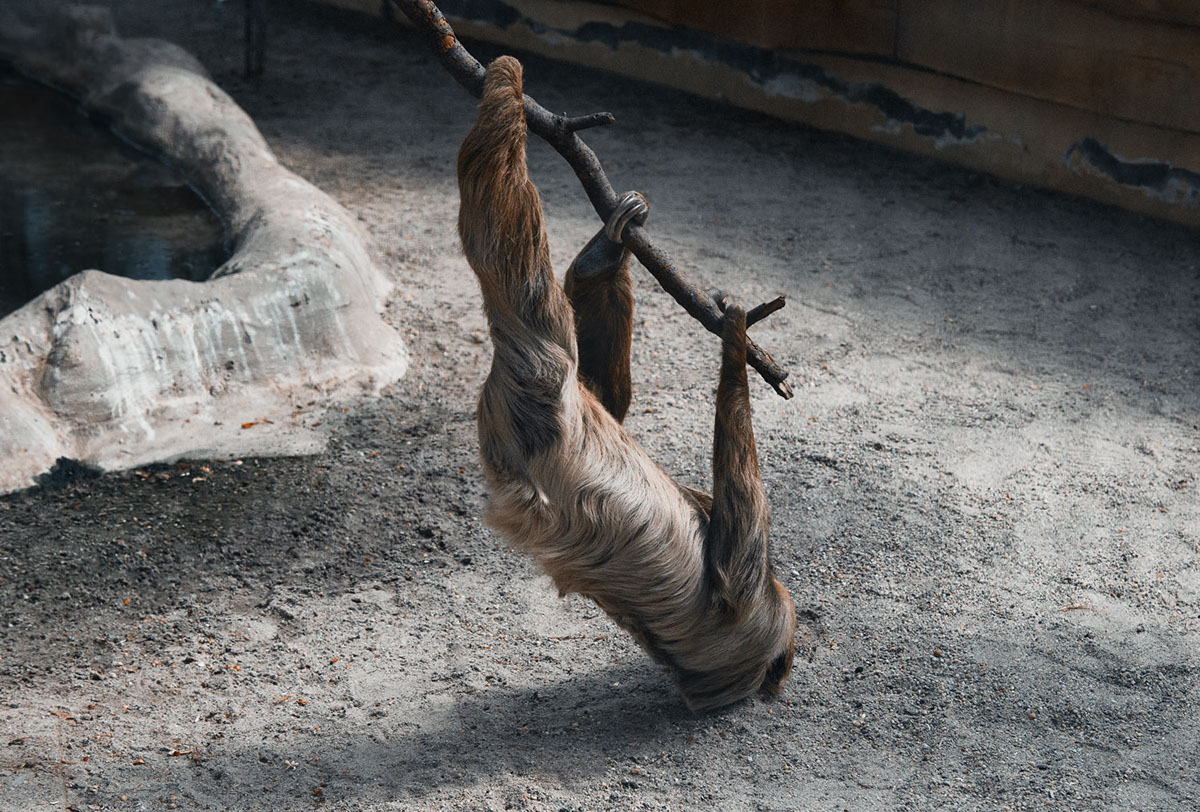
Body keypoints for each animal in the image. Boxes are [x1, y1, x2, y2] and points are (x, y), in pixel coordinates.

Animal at [456, 55, 796, 710]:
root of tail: (510, 487)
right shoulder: (758, 619)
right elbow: (733, 521)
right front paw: (738, 334)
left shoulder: (752, 622)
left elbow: (736, 554)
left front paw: (735, 336)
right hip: (554, 398)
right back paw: (601, 240)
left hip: (540, 390)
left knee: (506, 248)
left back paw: (505, 90)